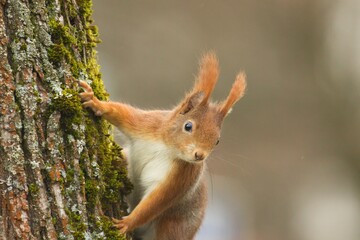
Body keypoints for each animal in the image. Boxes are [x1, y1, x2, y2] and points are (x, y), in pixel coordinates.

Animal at [80, 53, 246, 240]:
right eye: (188, 126)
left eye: (217, 140)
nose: (199, 155)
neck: (167, 148)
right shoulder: (148, 125)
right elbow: (121, 113)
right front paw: (95, 101)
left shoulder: (182, 176)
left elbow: (156, 202)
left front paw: (126, 223)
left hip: (172, 227)